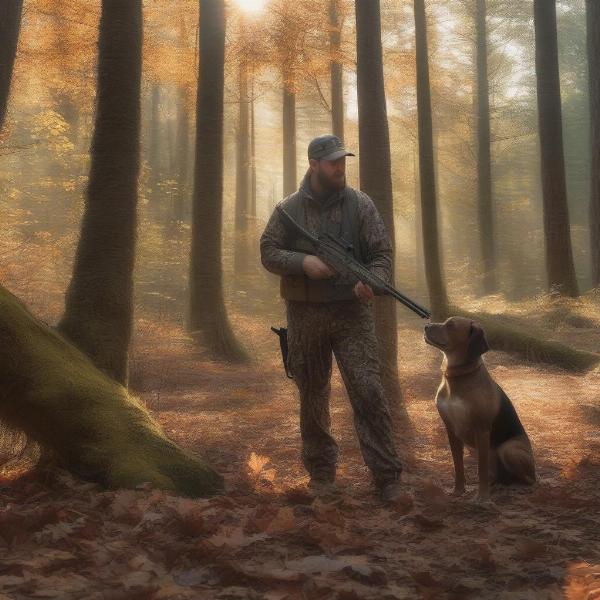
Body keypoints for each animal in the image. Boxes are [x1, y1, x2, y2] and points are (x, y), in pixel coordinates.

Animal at [422, 316, 536, 500]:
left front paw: (482, 497)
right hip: (475, 449)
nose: (426, 326)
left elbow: (481, 469)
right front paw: (458, 491)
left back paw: (515, 487)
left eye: (451, 325)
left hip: (508, 449)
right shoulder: (451, 430)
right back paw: (497, 484)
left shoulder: (481, 429)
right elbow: (458, 466)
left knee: (529, 479)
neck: (458, 377)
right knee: (498, 476)